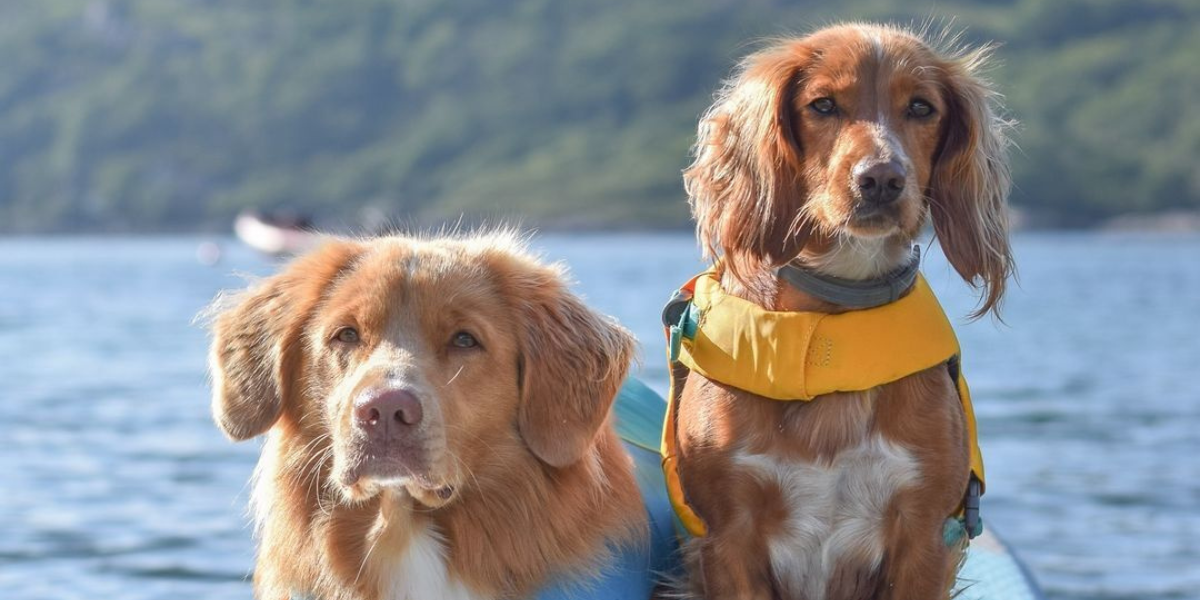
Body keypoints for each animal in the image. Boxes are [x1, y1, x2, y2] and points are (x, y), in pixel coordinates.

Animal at [676, 23, 1012, 600]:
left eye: (921, 107)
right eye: (824, 105)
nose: (880, 179)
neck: (830, 326)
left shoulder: (925, 535)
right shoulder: (727, 537)